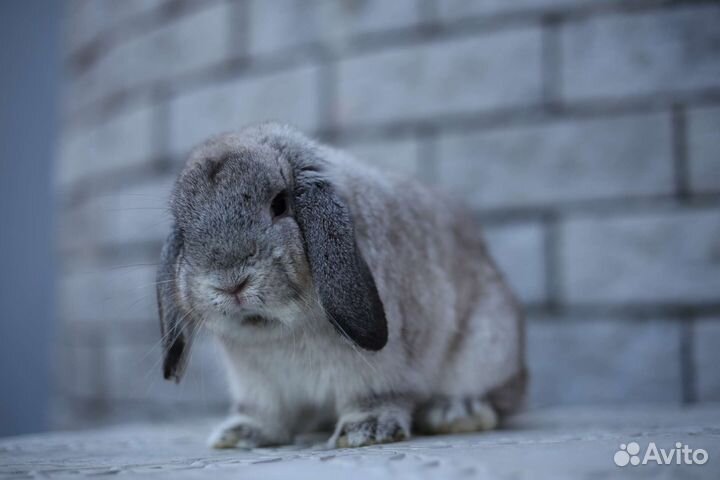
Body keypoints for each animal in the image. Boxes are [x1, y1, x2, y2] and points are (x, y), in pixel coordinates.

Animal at [157, 122, 526, 449]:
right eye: (184, 230)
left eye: (279, 204)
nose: (230, 283)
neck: (282, 333)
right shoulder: (255, 384)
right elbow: (262, 413)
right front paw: (239, 435)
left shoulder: (377, 370)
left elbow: (375, 396)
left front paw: (365, 431)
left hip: (487, 347)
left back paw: (454, 414)